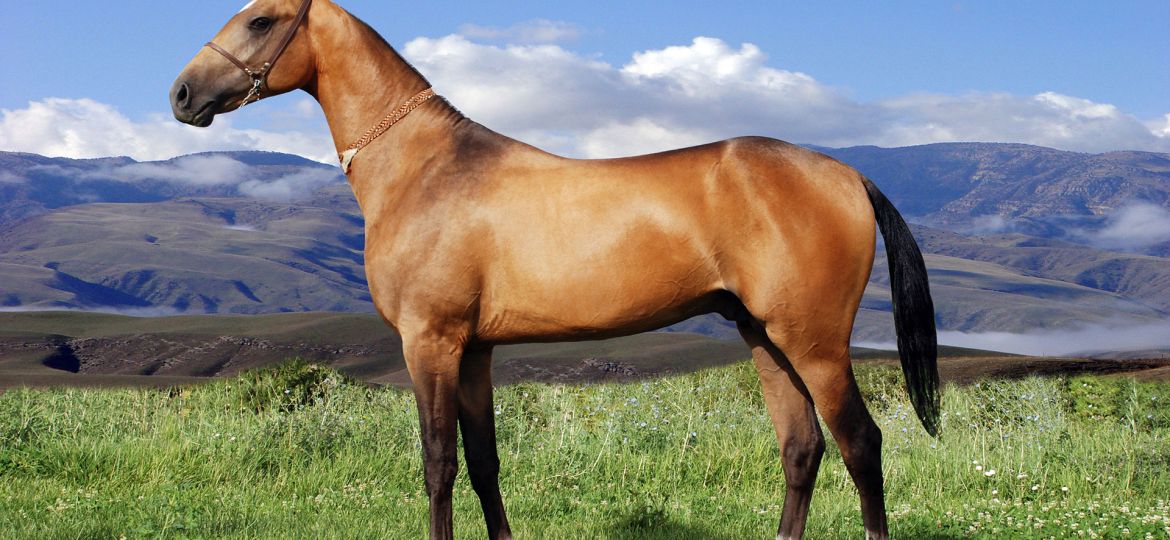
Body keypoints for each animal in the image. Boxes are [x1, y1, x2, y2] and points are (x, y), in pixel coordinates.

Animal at [170, 1, 939, 538]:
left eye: (260, 19)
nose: (181, 95)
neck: (427, 170)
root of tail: (846, 174)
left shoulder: (430, 341)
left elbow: (438, 463)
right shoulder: (474, 350)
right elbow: (483, 462)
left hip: (815, 343)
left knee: (861, 444)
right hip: (764, 337)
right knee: (802, 449)